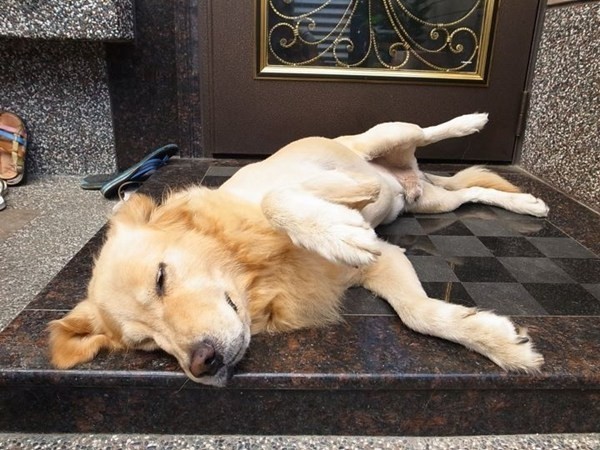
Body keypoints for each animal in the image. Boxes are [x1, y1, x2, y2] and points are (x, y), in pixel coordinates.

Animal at [48, 113, 547, 386]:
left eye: (160, 277)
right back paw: (527, 203)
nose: (202, 365)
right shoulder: (382, 261)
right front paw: (499, 343)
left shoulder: (321, 187)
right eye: (148, 345)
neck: (258, 269)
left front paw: (339, 232)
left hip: (380, 139)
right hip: (430, 201)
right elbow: (418, 313)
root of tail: (409, 173)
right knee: (472, 192)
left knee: (426, 131)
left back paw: (471, 121)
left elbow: (278, 200)